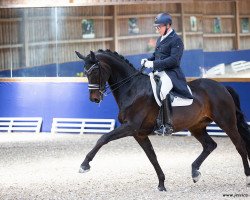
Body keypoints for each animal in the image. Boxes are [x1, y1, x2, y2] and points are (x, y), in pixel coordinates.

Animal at [74, 49, 250, 191]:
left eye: (94, 72)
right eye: (85, 72)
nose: (94, 99)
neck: (132, 89)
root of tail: (222, 87)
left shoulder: (130, 127)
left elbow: (103, 138)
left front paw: (84, 165)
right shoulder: (139, 134)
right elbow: (152, 157)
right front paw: (161, 184)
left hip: (226, 122)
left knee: (240, 145)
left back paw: (247, 177)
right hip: (196, 126)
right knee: (210, 145)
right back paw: (195, 172)